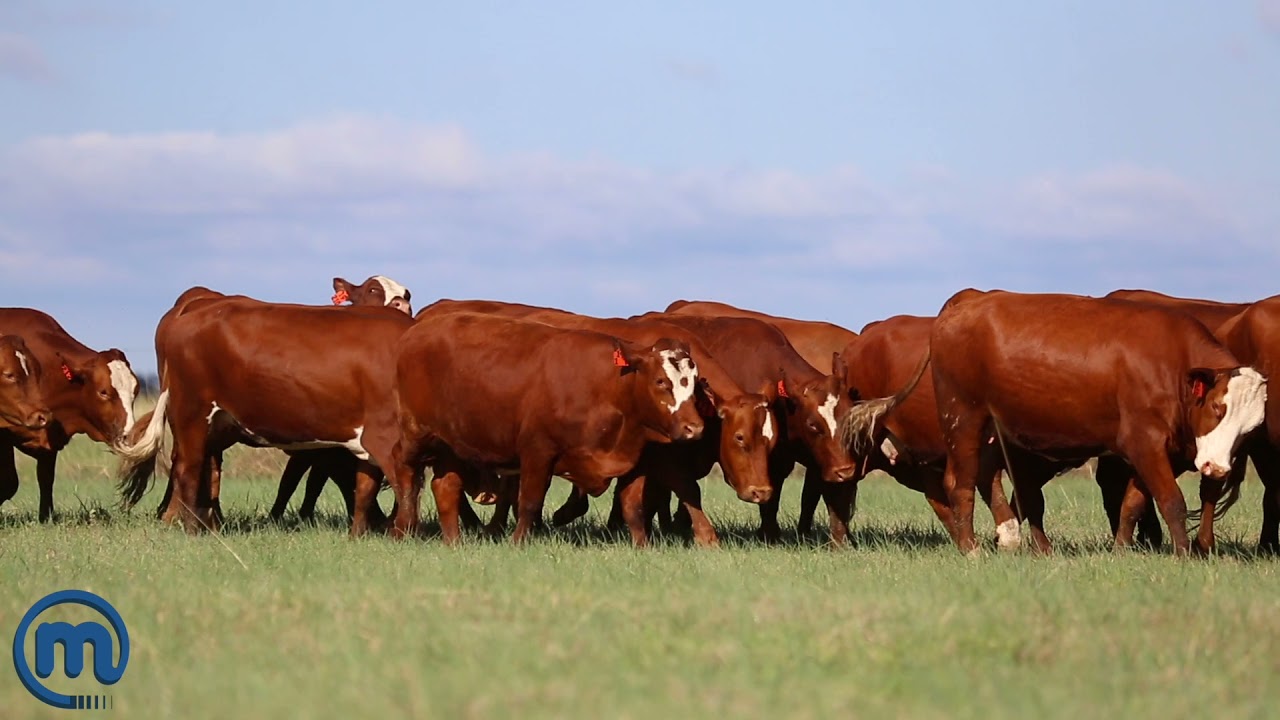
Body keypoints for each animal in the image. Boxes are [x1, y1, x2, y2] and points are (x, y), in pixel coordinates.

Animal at [0, 308, 142, 521]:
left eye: (136, 390)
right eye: (103, 392)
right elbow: (9, 483)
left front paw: (46, 517)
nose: (128, 436)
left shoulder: (50, 439)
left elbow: (45, 479)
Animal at [116, 293, 415, 535]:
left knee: (208, 470)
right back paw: (192, 530)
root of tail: (196, 308)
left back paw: (208, 526)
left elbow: (365, 488)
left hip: (215, 425)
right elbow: (406, 488)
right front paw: (404, 534)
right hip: (191, 414)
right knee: (188, 469)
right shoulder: (386, 439)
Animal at [380, 311, 708, 545]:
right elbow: (529, 501)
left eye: (694, 383)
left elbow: (633, 507)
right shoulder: (537, 451)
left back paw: (453, 541)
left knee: (446, 486)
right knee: (403, 468)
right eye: (661, 381)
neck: (608, 388)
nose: (694, 428)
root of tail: (417, 332)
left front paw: (642, 546)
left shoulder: (634, 461)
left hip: (452, 443)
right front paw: (518, 542)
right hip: (417, 432)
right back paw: (402, 529)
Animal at [416, 299, 779, 546]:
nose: (761, 492)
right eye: (740, 438)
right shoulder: (662, 456)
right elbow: (686, 489)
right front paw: (707, 537)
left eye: (770, 441)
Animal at [843, 289, 1267, 557]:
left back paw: (1033, 547)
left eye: (1250, 428)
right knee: (957, 484)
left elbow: (1132, 503)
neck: (1171, 363)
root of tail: (971, 298)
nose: (1216, 468)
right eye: (1218, 407)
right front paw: (1183, 554)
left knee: (1011, 492)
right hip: (963, 419)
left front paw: (1120, 550)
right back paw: (970, 549)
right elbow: (1171, 501)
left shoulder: (1151, 452)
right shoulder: (1144, 443)